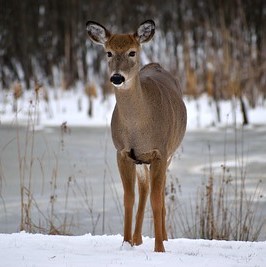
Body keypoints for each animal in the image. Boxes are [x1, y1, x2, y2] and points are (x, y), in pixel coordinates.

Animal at [86, 19, 186, 252]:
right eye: (108, 52)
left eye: (132, 52)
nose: (117, 77)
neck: (138, 128)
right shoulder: (122, 153)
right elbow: (128, 198)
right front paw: (125, 243)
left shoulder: (160, 152)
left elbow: (157, 200)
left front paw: (159, 248)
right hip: (140, 161)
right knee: (144, 189)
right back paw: (138, 239)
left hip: (169, 153)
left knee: (158, 192)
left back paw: (164, 237)